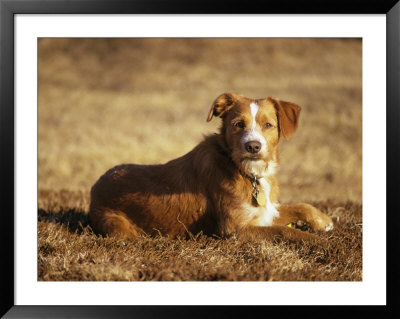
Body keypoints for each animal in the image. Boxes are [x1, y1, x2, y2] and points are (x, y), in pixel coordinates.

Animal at [89, 92, 332, 242]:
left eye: (268, 125)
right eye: (238, 124)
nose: (253, 146)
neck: (245, 172)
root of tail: (95, 186)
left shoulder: (265, 211)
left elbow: (299, 206)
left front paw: (323, 221)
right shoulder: (235, 230)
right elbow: (285, 231)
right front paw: (318, 241)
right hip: (117, 226)